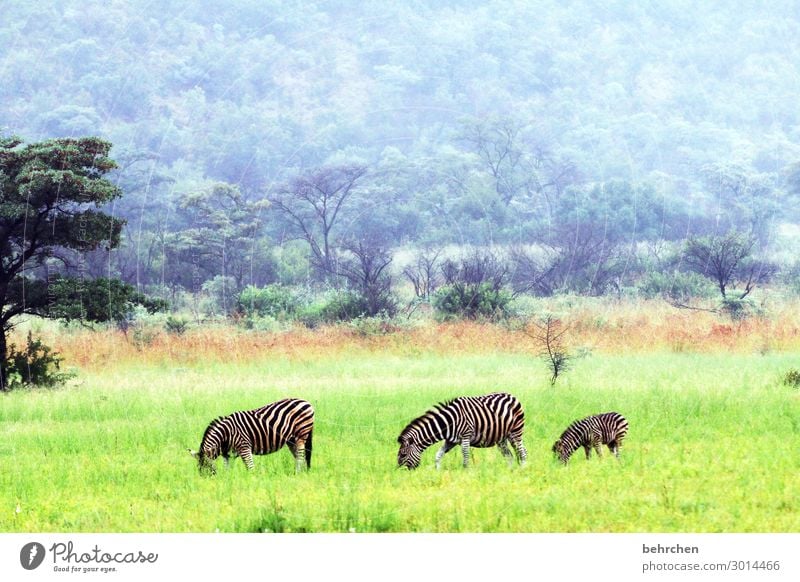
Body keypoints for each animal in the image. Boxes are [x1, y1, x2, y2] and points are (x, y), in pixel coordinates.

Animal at [396, 392, 528, 470]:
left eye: (403, 454)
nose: (400, 472)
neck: (448, 422)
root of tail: (512, 396)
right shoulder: (450, 441)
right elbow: (438, 455)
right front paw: (437, 472)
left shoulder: (465, 437)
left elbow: (465, 457)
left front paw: (466, 473)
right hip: (501, 438)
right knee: (510, 456)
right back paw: (509, 471)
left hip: (515, 432)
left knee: (522, 452)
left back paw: (522, 470)